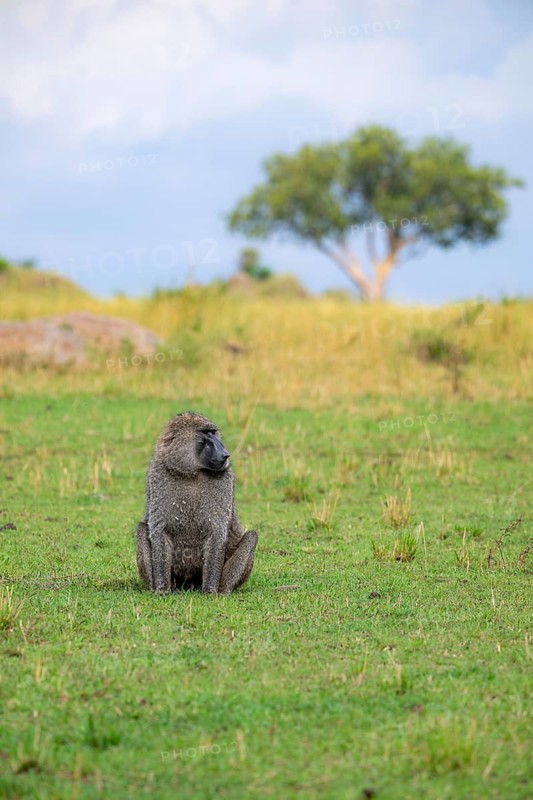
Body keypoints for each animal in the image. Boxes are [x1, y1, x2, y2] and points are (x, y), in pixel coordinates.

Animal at [136, 411, 258, 595]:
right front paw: (162, 589)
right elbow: (159, 530)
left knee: (251, 536)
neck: (191, 472)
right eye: (204, 433)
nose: (225, 454)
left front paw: (210, 591)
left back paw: (222, 590)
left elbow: (217, 532)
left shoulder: (225, 479)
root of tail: (189, 584)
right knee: (141, 528)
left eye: (213, 432)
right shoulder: (158, 475)